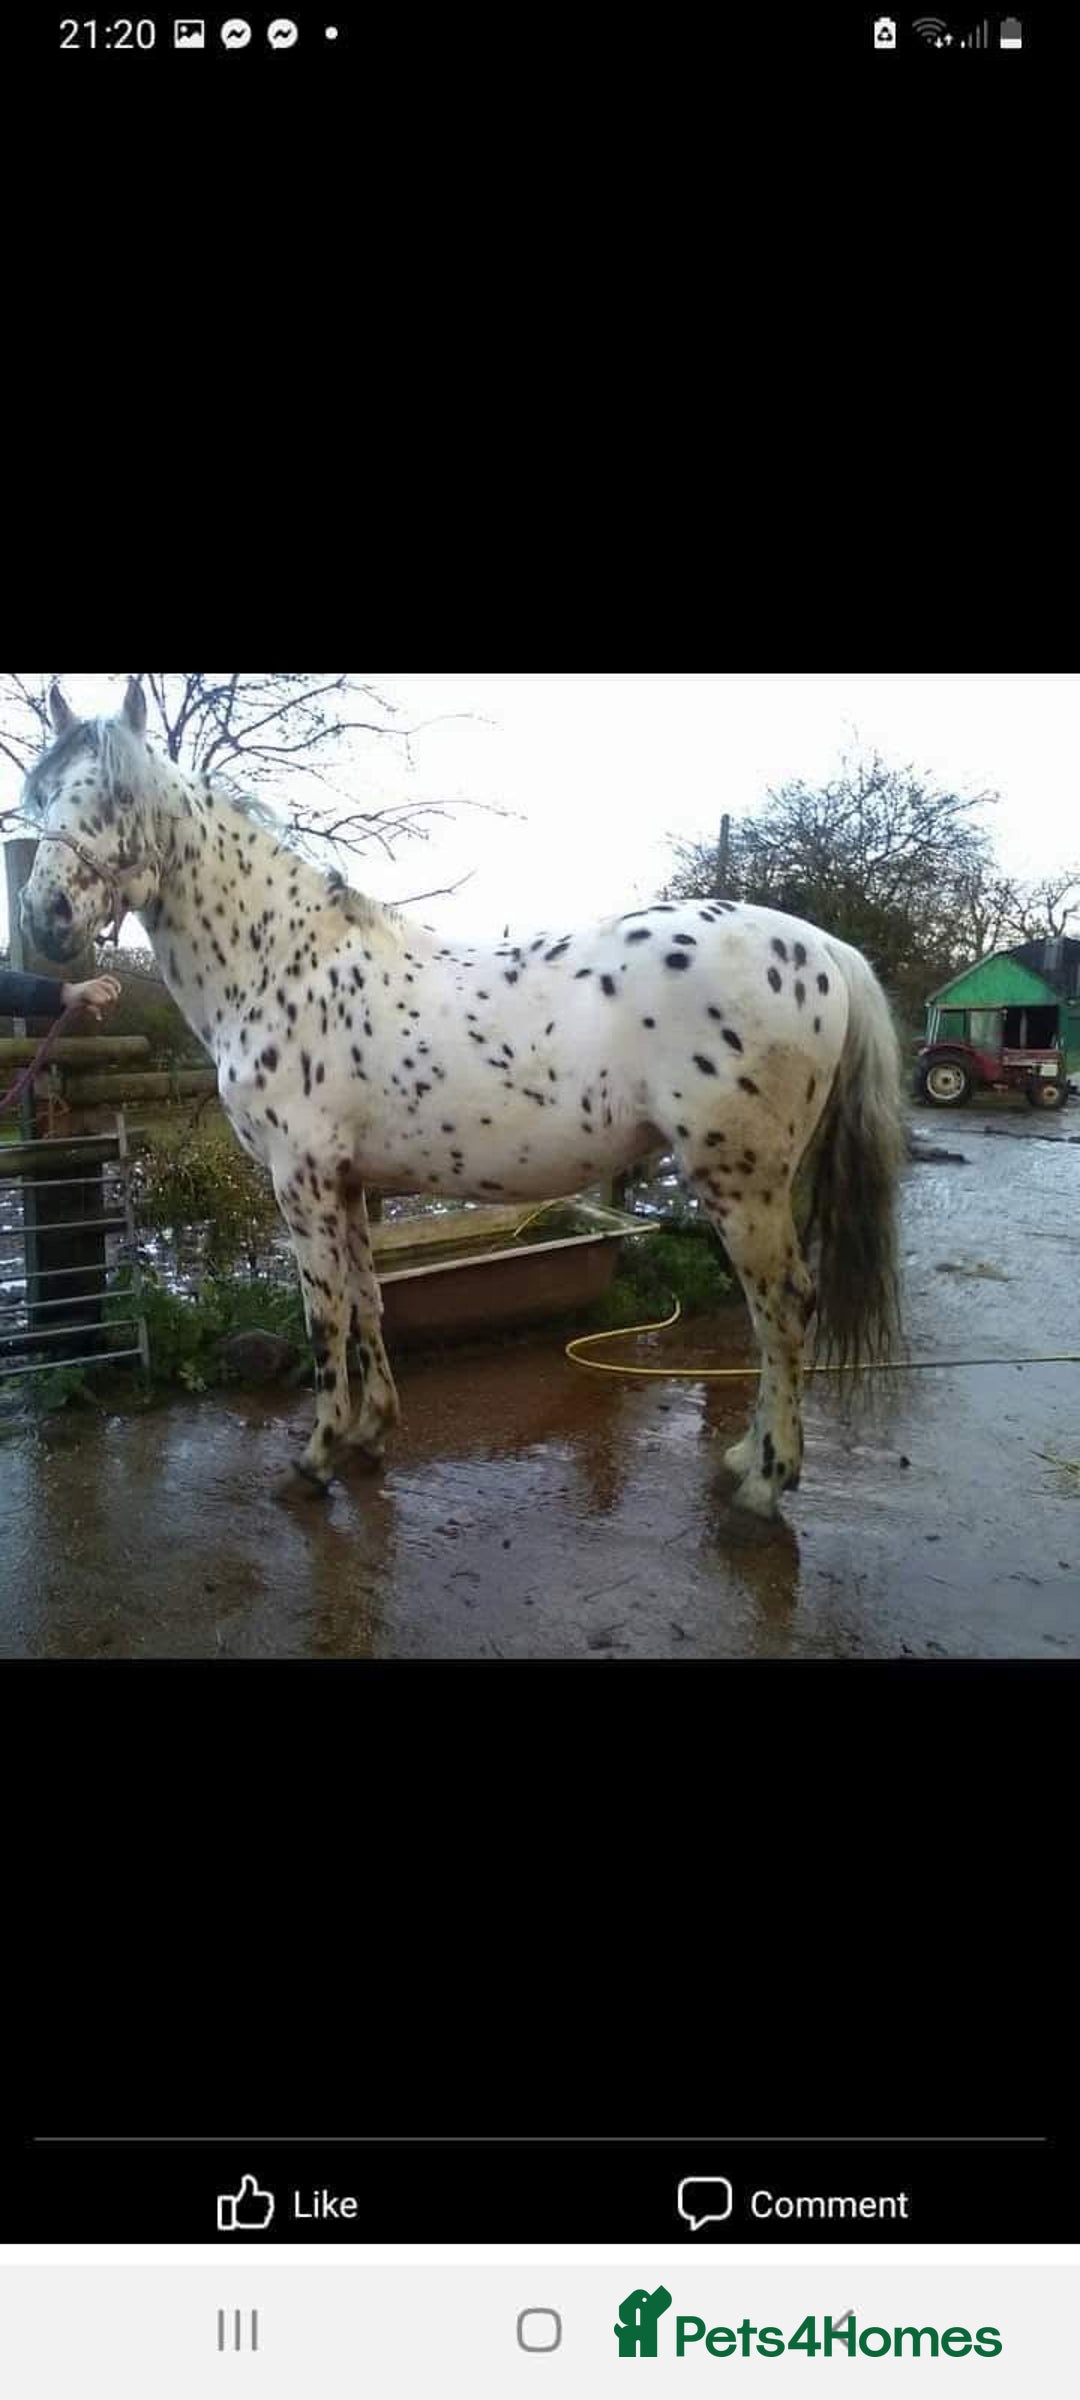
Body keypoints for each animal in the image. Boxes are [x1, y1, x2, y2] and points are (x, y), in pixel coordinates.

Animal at [19, 679, 907, 1516]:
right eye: (41, 794)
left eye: (118, 796)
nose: (43, 918)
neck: (283, 964)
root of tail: (822, 948)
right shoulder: (346, 1182)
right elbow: (369, 1302)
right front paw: (371, 1434)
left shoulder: (300, 1180)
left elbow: (324, 1316)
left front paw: (316, 1458)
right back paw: (747, 1457)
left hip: (741, 1183)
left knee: (782, 1306)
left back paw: (766, 1481)